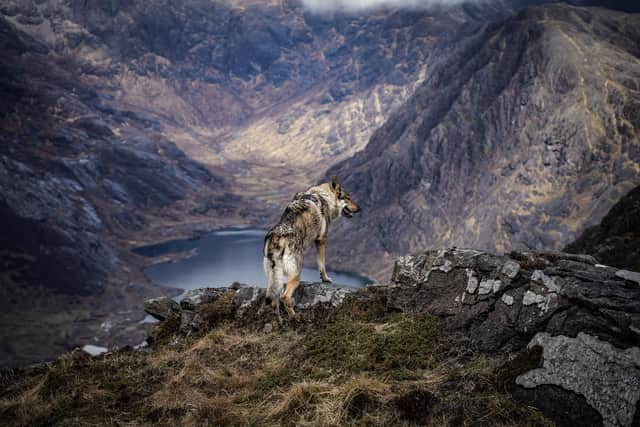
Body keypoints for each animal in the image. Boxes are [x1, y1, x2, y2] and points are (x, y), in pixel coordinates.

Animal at [262, 176, 360, 322]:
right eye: (348, 198)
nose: (360, 208)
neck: (322, 195)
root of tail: (277, 237)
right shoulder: (321, 240)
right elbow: (322, 264)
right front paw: (325, 279)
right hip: (296, 275)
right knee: (285, 297)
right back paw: (295, 318)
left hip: (275, 278)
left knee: (274, 301)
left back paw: (280, 322)